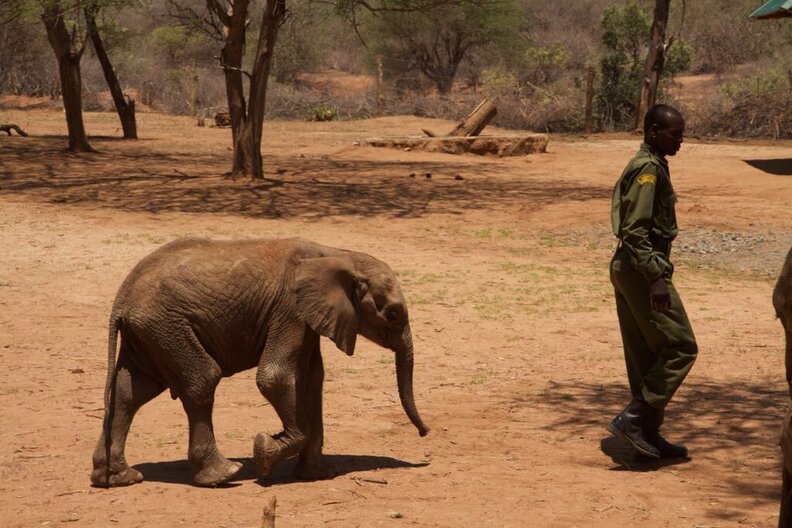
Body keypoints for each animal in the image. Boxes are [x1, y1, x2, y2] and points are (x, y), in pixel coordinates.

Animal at [90, 237, 429, 488]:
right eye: (393, 314)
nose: (425, 433)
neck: (340, 255)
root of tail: (121, 300)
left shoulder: (307, 318)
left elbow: (311, 379)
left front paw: (317, 475)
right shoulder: (290, 309)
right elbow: (276, 377)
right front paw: (264, 452)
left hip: (150, 333)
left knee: (129, 392)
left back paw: (118, 478)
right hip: (166, 327)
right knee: (202, 379)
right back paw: (224, 475)